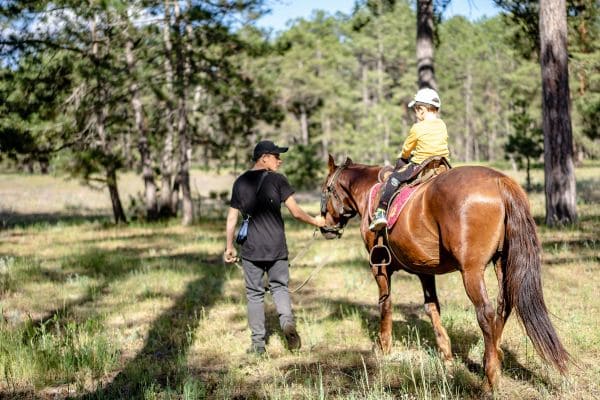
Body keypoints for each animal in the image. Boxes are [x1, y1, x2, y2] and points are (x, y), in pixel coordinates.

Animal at [318, 155, 568, 390]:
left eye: (326, 188)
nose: (326, 227)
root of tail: (500, 181)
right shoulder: (424, 269)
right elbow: (432, 308)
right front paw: (446, 354)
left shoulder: (379, 267)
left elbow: (385, 304)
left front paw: (385, 347)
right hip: (503, 262)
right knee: (503, 306)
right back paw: (493, 357)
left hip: (472, 271)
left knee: (486, 313)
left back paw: (490, 379)